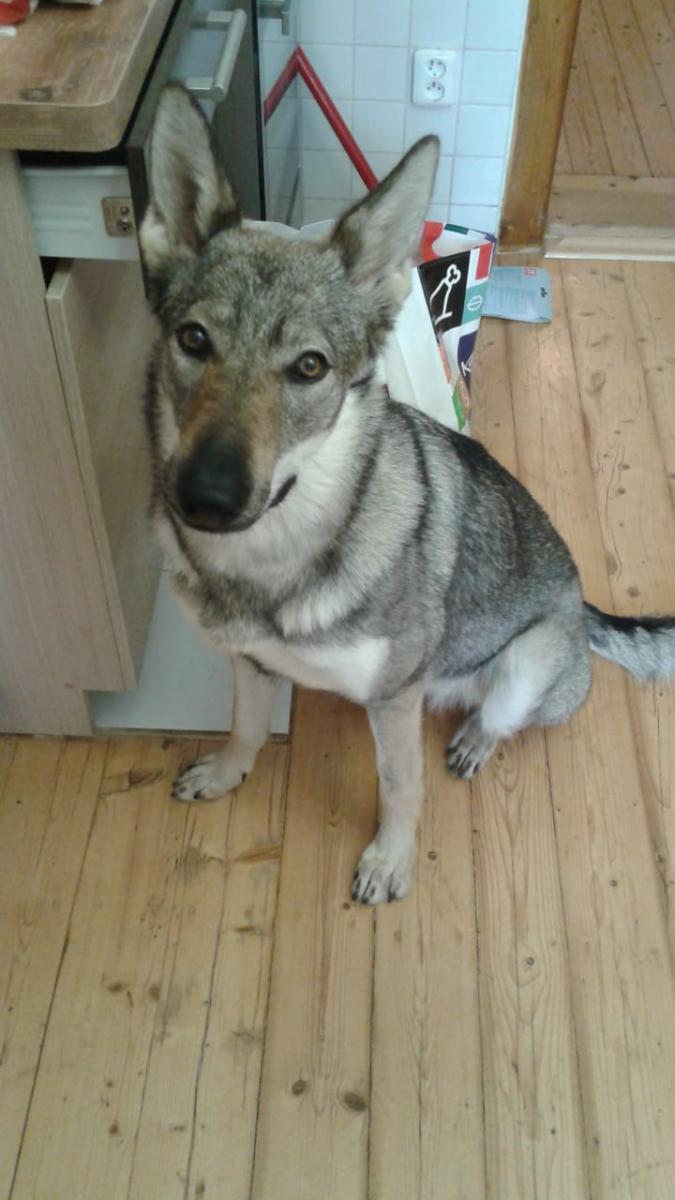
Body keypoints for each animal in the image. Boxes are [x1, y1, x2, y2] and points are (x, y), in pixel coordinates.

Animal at [139, 84, 675, 905]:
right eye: (194, 340)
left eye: (309, 367)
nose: (204, 498)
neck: (275, 558)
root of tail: (582, 606)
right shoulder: (251, 666)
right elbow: (246, 727)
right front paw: (228, 774)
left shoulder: (393, 700)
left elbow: (400, 786)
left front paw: (389, 861)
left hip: (522, 669)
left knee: (500, 716)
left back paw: (475, 739)